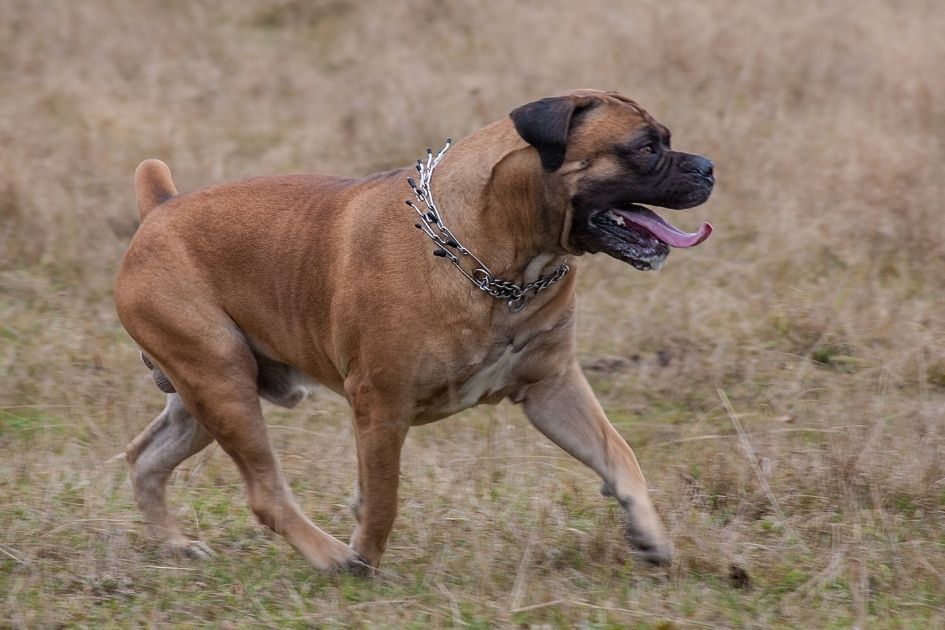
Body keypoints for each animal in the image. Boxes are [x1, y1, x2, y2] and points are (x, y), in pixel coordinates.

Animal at [114, 89, 712, 576]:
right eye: (644, 149)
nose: (707, 167)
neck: (502, 261)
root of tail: (160, 209)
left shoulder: (553, 389)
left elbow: (620, 456)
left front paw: (649, 534)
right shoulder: (382, 406)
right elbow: (383, 498)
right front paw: (365, 561)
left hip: (204, 397)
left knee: (145, 458)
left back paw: (175, 546)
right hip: (223, 381)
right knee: (264, 491)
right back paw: (333, 559)